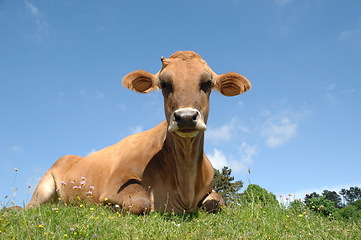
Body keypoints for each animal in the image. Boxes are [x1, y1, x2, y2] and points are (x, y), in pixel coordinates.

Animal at [26, 50, 250, 214]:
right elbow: (141, 202)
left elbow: (217, 201)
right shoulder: (115, 184)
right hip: (43, 186)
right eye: (164, 84)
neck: (185, 189)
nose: (186, 117)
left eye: (207, 83)